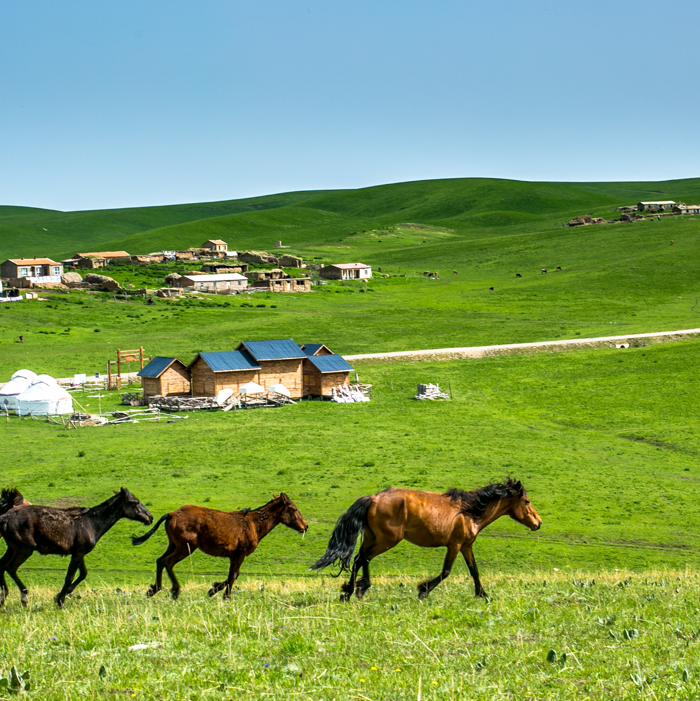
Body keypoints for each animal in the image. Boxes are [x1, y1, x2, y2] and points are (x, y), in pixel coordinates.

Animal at [0, 486, 152, 608]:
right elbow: (70, 576)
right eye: (135, 502)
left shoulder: (79, 552)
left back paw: (3, 597)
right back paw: (23, 597)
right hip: (24, 550)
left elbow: (83, 573)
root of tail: (5, 518)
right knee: (10, 567)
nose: (150, 517)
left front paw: (62, 594)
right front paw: (60, 600)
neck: (92, 523)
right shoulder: (78, 553)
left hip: (12, 549)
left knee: (2, 565)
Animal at [131, 490, 306, 600]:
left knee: (160, 561)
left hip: (173, 545)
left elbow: (233, 575)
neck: (253, 524)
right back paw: (175, 591)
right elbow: (233, 575)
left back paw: (154, 589)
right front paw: (222, 594)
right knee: (168, 562)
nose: (305, 526)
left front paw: (214, 589)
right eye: (293, 509)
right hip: (186, 547)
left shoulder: (234, 555)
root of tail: (172, 514)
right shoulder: (240, 554)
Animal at [312, 478, 540, 600]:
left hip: (371, 537)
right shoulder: (454, 545)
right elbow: (446, 572)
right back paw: (354, 590)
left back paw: (354, 589)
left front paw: (481, 594)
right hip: (388, 540)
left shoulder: (466, 546)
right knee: (362, 558)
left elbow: (474, 571)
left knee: (361, 558)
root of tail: (373, 498)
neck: (470, 512)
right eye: (527, 501)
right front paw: (423, 591)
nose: (538, 523)